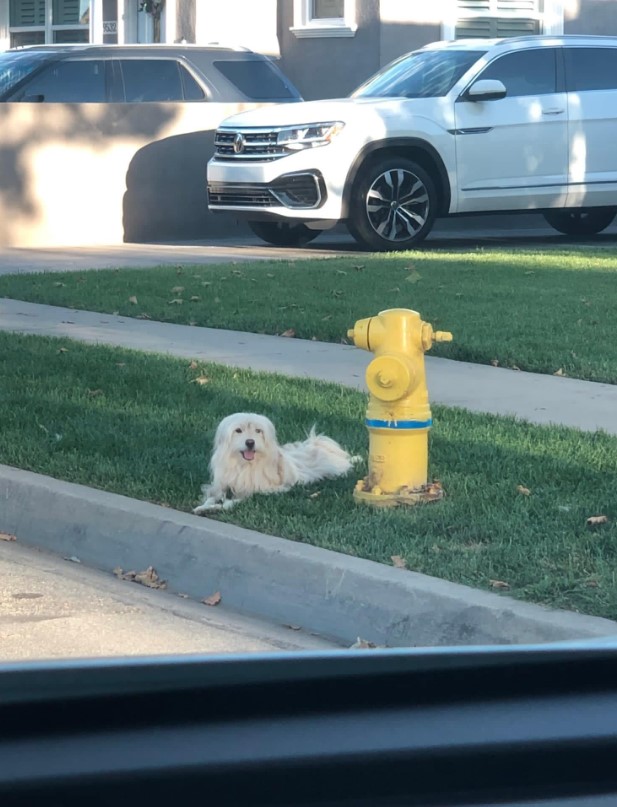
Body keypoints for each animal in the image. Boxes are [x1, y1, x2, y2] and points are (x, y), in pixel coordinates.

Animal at [191, 414, 356, 516]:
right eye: (238, 430)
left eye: (258, 431)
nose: (250, 442)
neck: (244, 465)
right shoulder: (220, 486)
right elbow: (212, 497)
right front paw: (204, 507)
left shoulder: (260, 491)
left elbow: (232, 502)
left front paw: (220, 506)